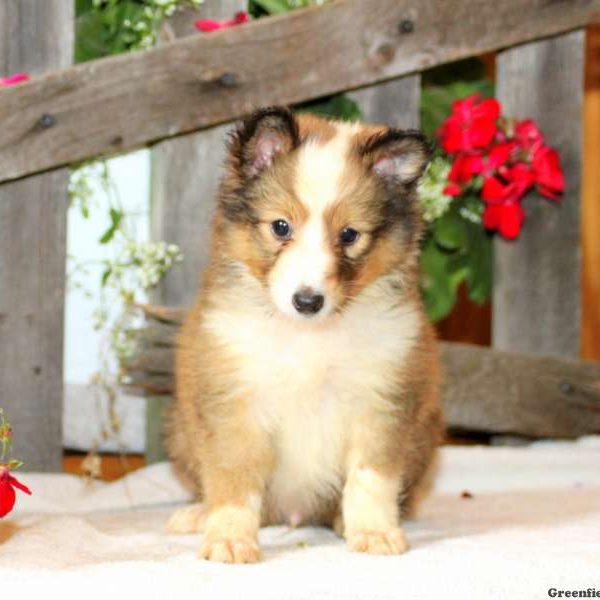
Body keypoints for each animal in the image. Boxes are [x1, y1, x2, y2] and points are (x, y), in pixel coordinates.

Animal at [166, 106, 442, 564]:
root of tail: (293, 515)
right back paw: (197, 514)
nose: (307, 301)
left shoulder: (382, 399)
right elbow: (234, 479)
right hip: (181, 431)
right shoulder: (234, 401)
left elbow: (371, 477)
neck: (309, 337)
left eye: (349, 234)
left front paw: (374, 532)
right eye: (280, 226)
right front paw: (230, 540)